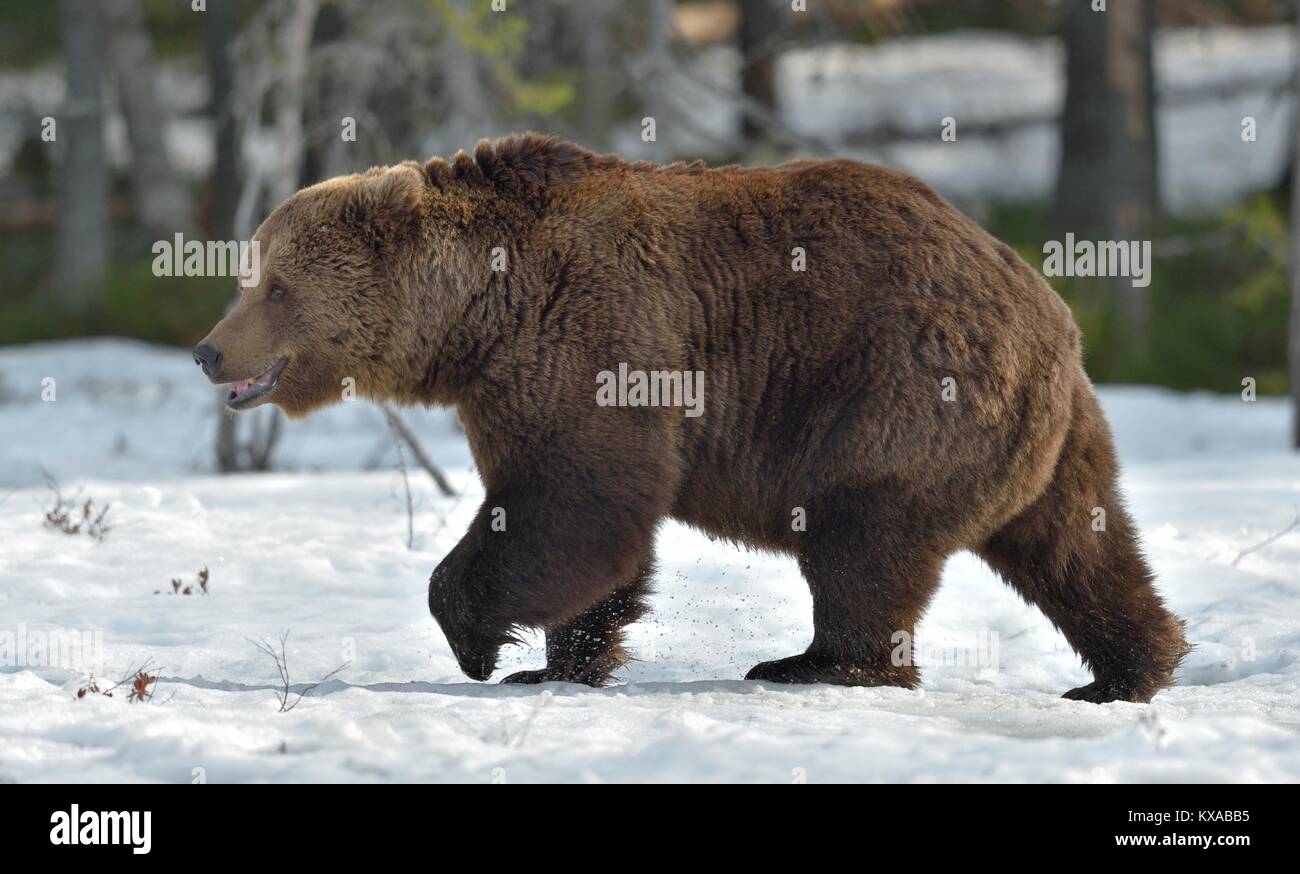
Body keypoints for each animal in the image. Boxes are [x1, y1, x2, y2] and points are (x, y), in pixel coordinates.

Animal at [192, 131, 1190, 702]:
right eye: (251, 273)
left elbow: (578, 501)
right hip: (1044, 434)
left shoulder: (589, 339)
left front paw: (480, 644)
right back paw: (1133, 668)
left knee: (863, 539)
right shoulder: (508, 383)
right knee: (1078, 543)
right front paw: (558, 659)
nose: (209, 350)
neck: (476, 314)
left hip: (896, 389)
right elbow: (587, 529)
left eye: (275, 287)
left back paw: (816, 662)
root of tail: (1045, 304)